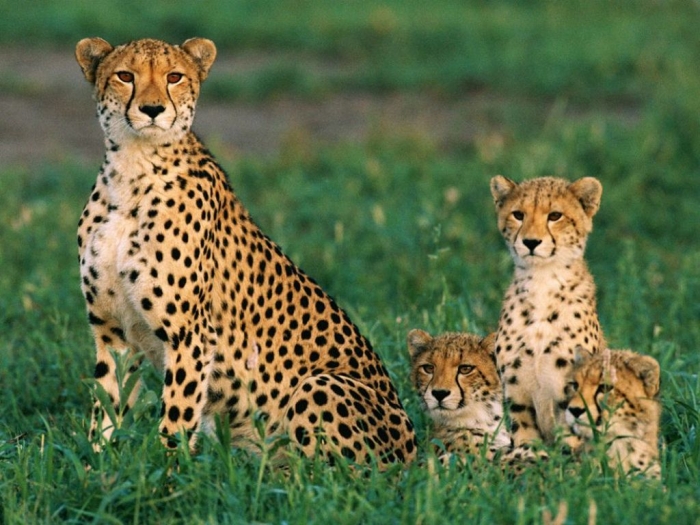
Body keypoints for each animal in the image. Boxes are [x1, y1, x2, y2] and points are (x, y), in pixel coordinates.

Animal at [74, 37, 417, 465]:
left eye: (174, 77)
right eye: (125, 75)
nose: (152, 109)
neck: (133, 169)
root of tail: (415, 452)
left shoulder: (190, 336)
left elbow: (176, 416)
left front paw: (166, 472)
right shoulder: (112, 330)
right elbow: (107, 404)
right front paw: (97, 463)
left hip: (319, 385)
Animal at [490, 175, 605, 448]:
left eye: (555, 215)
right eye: (518, 214)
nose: (531, 242)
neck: (542, 282)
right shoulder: (517, 393)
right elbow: (525, 439)